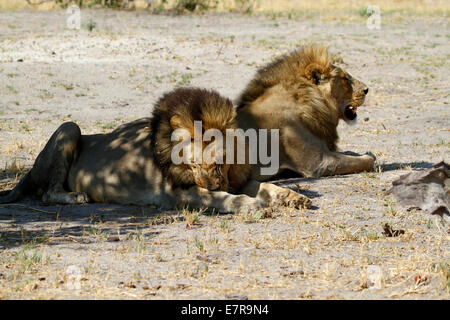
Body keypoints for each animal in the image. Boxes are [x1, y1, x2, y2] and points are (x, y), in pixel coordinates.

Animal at [0, 87, 310, 212]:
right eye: (193, 165)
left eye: (220, 162)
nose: (213, 182)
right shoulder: (181, 194)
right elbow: (226, 199)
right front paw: (255, 205)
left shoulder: (236, 178)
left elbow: (264, 186)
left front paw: (292, 197)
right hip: (70, 127)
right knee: (47, 194)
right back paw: (76, 197)